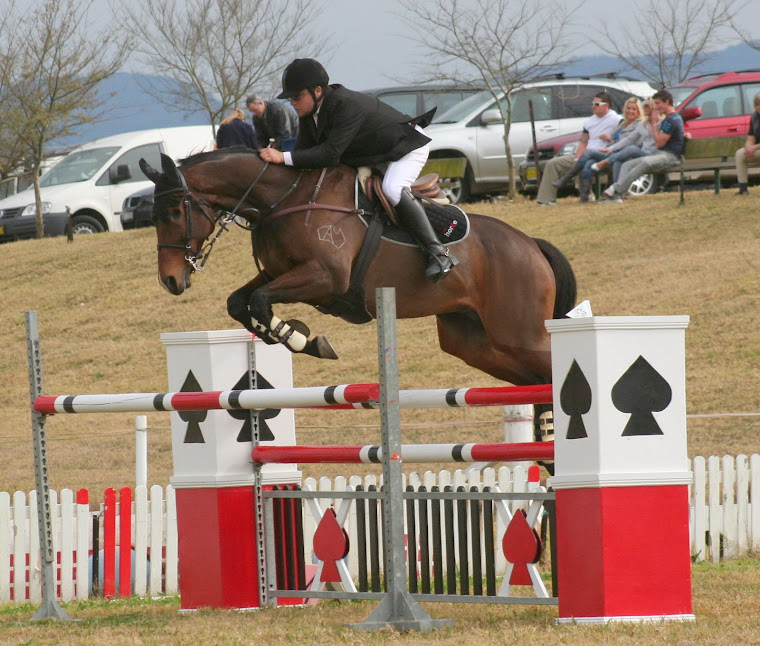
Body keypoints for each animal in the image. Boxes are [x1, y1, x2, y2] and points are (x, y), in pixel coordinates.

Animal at [140, 149, 576, 388]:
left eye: (175, 212)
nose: (170, 280)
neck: (283, 198)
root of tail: (530, 244)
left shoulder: (326, 278)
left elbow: (261, 301)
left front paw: (300, 337)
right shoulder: (280, 272)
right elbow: (239, 302)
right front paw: (284, 335)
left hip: (518, 334)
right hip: (474, 341)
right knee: (534, 380)